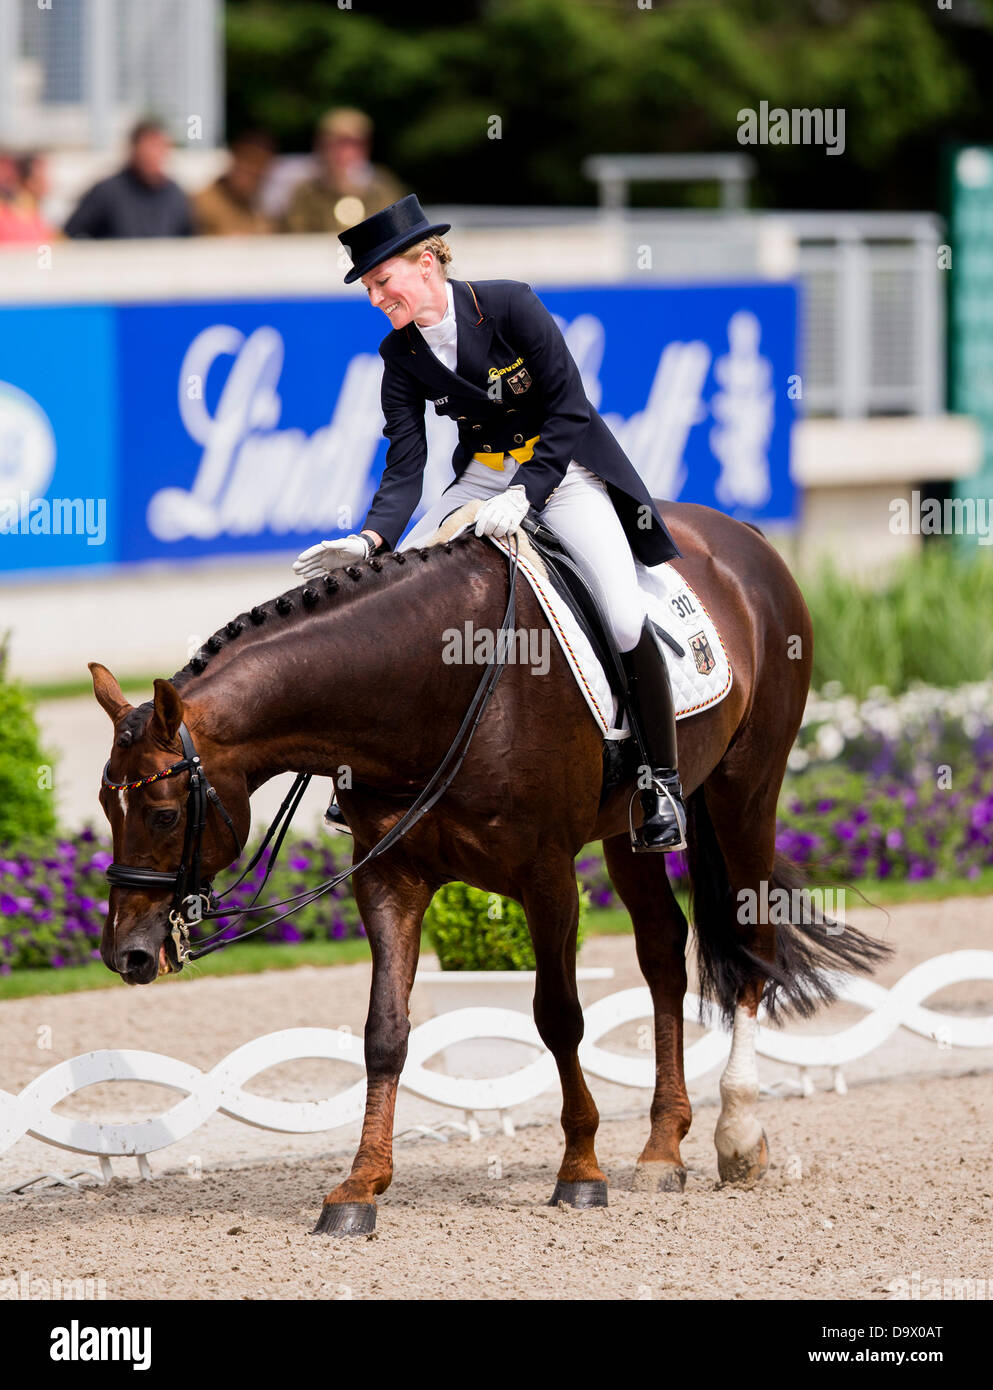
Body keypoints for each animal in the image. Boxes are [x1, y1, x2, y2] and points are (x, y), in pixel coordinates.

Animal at [89, 499, 886, 1235]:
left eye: (163, 815)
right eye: (105, 808)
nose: (127, 954)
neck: (429, 686)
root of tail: (741, 535)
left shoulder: (546, 874)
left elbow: (558, 1017)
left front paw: (580, 1172)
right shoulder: (390, 878)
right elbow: (385, 1029)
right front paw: (359, 1186)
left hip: (743, 788)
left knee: (751, 945)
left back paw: (738, 1137)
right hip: (630, 832)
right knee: (664, 950)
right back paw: (663, 1149)